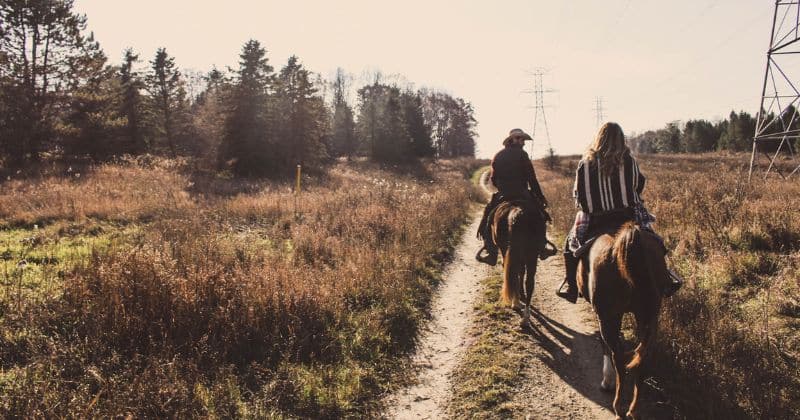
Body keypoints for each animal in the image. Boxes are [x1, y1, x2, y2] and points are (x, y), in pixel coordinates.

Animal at [576, 221, 668, 418]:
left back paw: (618, 406)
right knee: (642, 357)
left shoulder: (602, 315)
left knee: (617, 355)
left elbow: (604, 344)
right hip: (647, 316)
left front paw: (607, 381)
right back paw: (632, 410)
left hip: (609, 318)